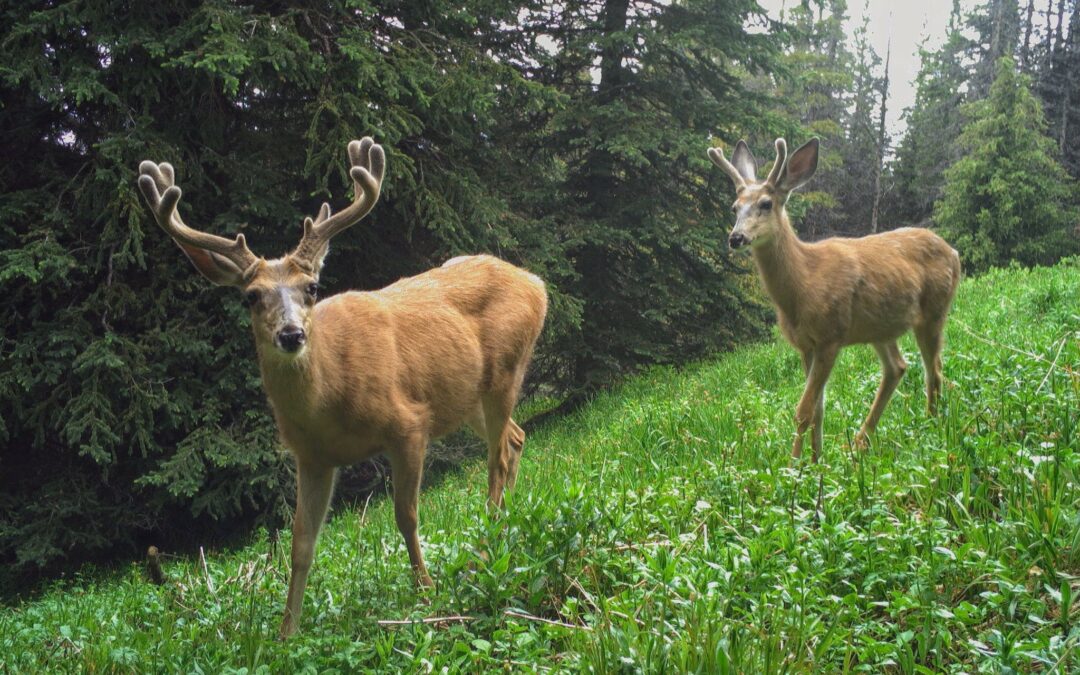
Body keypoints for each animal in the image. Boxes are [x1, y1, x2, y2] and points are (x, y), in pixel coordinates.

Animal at [136, 137, 548, 635]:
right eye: (251, 296)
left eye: (312, 287)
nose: (291, 334)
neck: (330, 402)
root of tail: (535, 282)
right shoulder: (312, 457)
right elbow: (300, 543)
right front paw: (287, 632)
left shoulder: (409, 424)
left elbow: (405, 515)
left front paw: (425, 589)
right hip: (468, 399)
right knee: (516, 437)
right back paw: (505, 519)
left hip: (506, 368)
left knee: (498, 457)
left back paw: (488, 541)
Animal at [708, 138, 963, 462]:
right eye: (734, 207)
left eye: (766, 204)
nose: (736, 238)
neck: (804, 284)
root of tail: (954, 252)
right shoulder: (806, 345)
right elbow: (818, 409)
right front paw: (817, 460)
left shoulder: (831, 336)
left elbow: (804, 411)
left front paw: (793, 465)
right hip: (881, 327)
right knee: (897, 367)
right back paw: (861, 442)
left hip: (934, 311)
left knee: (935, 369)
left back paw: (930, 425)